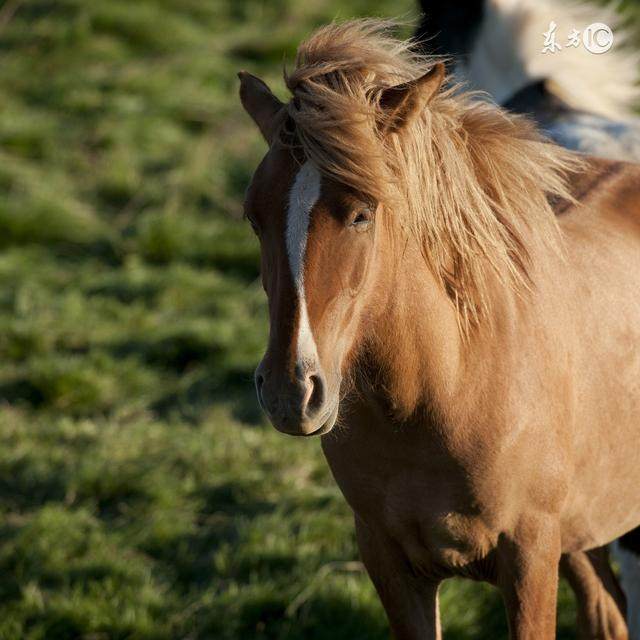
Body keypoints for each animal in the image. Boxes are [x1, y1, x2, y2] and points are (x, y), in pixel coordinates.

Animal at [239, 20, 640, 640]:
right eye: (253, 214)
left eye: (362, 212)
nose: (290, 392)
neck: (445, 388)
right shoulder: (389, 561)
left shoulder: (530, 559)